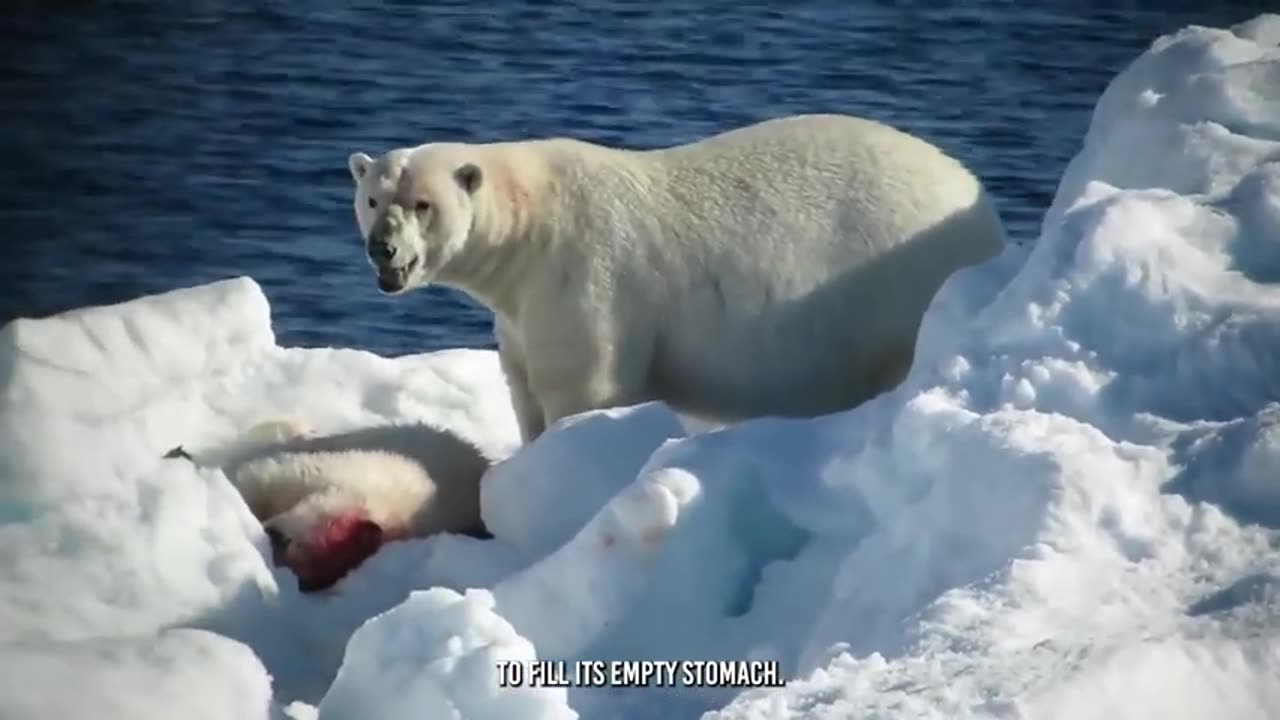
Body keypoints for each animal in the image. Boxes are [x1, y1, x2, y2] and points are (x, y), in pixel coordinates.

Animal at [345, 112, 1003, 440]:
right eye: (373, 199)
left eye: (423, 204)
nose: (382, 249)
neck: (533, 226)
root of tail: (981, 206)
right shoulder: (520, 313)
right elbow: (524, 388)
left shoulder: (583, 281)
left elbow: (584, 389)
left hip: (901, 285)